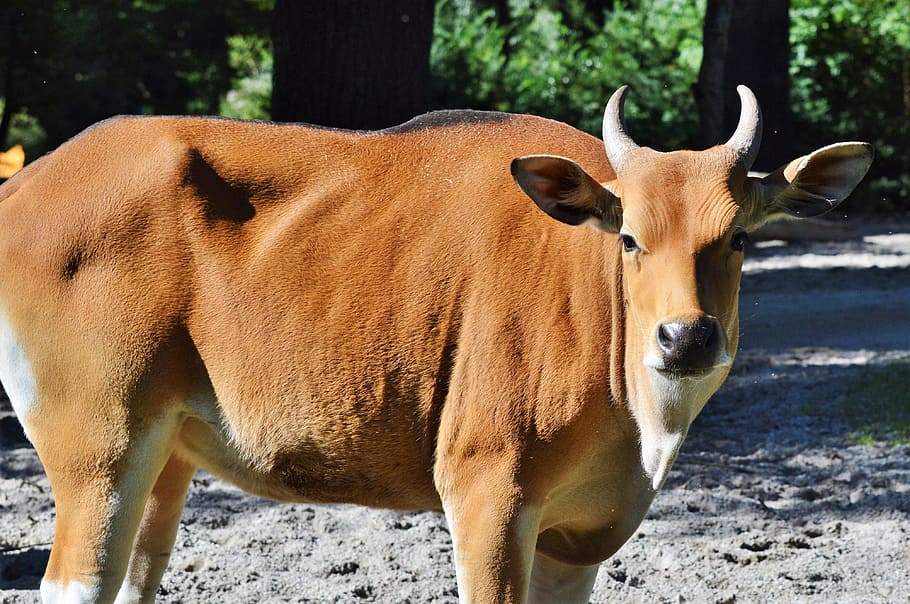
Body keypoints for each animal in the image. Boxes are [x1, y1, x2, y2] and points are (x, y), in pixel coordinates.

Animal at [0, 85, 872, 603]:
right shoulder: (488, 492)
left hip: (165, 457)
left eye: (739, 238)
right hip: (98, 452)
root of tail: (26, 183)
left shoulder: (581, 536)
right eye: (629, 237)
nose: (686, 336)